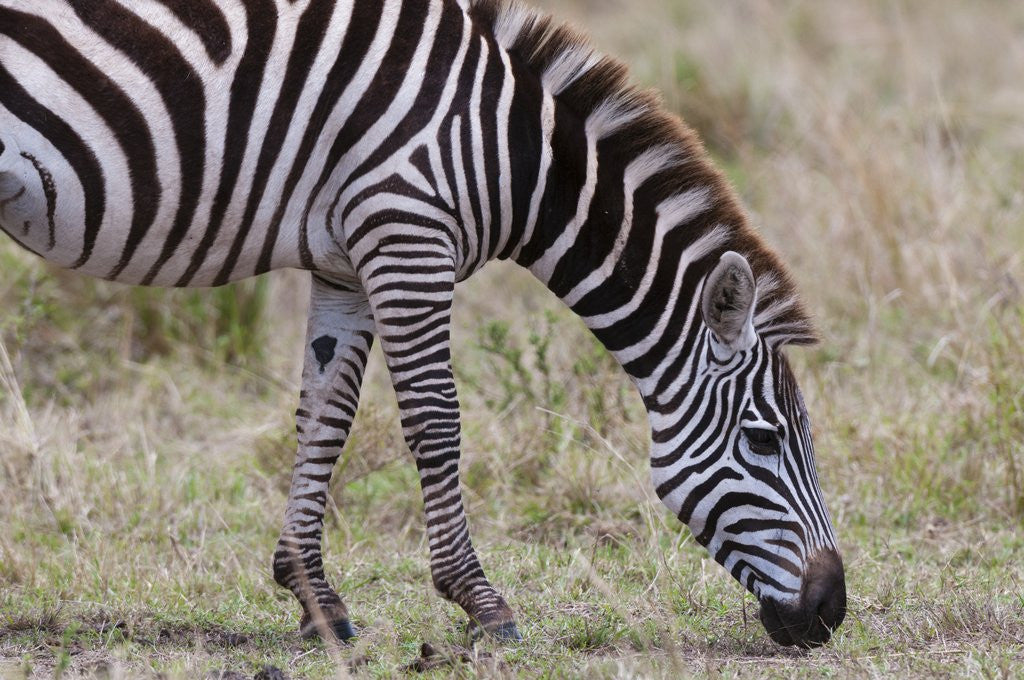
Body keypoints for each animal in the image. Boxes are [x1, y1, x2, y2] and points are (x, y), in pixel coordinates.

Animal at [0, 0, 846, 648]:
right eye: (764, 441)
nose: (831, 612)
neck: (513, 151)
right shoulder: (406, 230)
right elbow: (436, 420)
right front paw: (480, 603)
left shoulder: (346, 262)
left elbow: (325, 416)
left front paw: (312, 597)